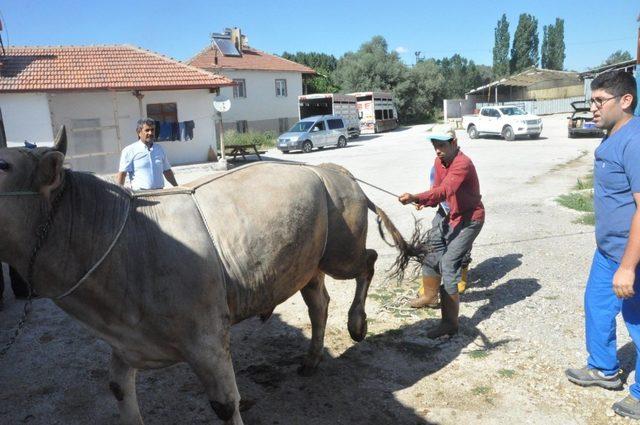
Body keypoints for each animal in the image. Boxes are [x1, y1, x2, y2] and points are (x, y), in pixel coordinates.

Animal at [0, 127, 422, 422]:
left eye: (4, 165)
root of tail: (331, 169)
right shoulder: (127, 345)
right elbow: (120, 390)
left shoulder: (206, 340)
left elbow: (224, 404)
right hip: (305, 264)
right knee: (318, 303)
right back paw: (311, 359)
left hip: (340, 253)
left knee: (368, 261)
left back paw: (357, 324)